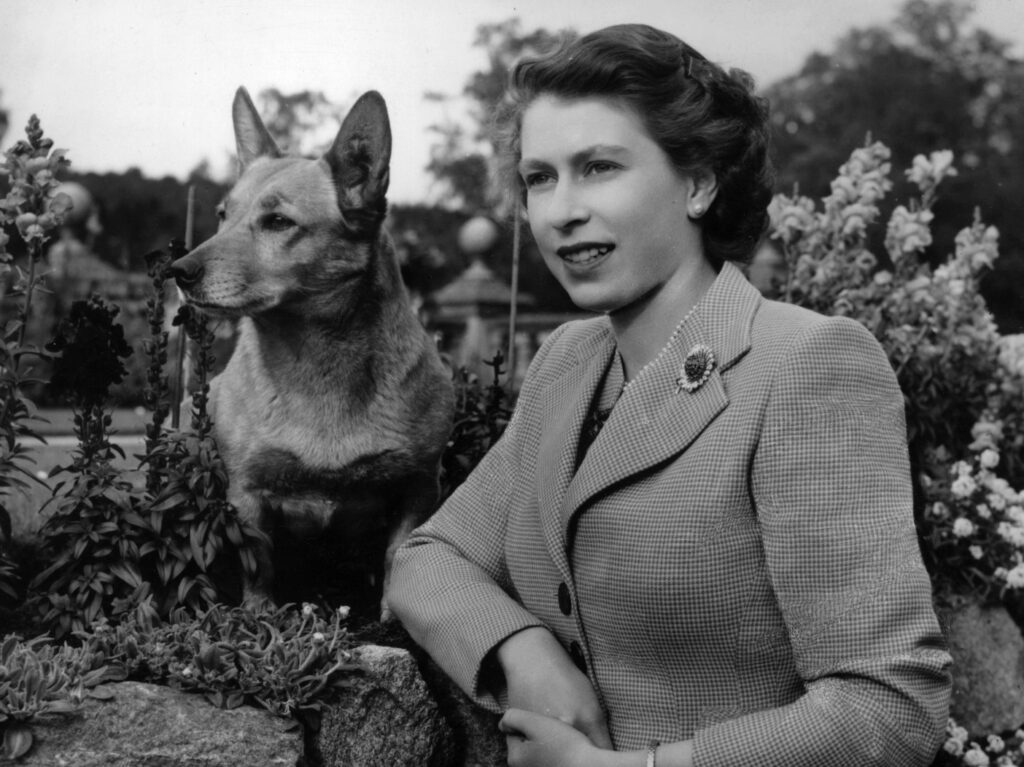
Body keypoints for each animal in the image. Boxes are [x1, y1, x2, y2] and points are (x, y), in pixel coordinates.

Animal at [171, 88, 452, 614]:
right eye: (222, 216)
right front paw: (258, 618)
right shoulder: (247, 494)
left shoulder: (421, 487)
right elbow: (259, 567)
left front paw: (392, 618)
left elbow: (399, 558)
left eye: (278, 222)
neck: (317, 361)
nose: (177, 271)